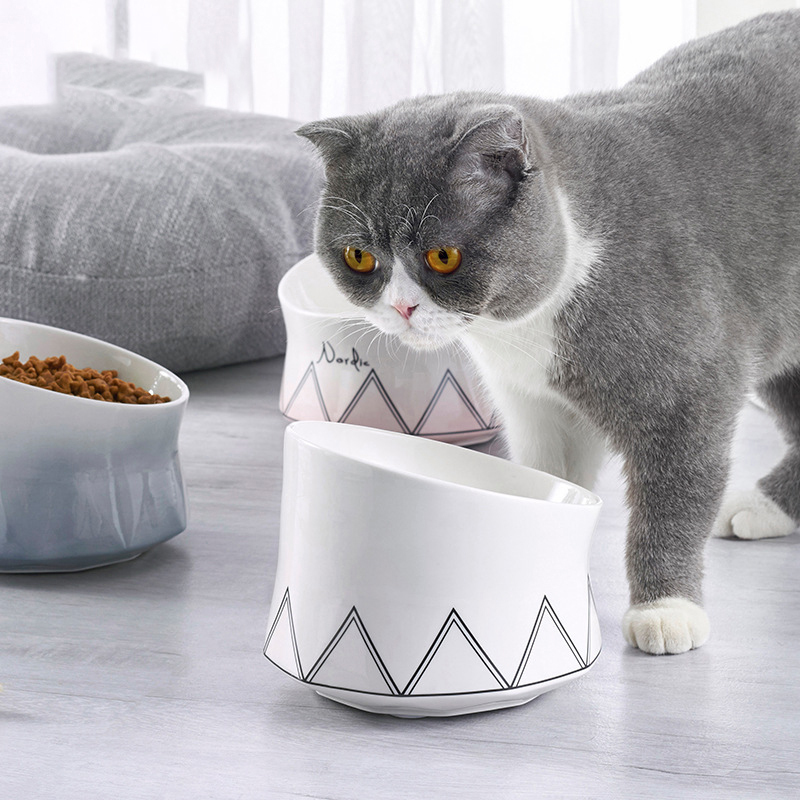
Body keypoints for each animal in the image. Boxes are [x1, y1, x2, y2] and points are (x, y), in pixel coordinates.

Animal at [296, 9, 800, 652]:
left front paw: (666, 609)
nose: (403, 308)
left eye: (442, 256)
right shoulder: (534, 404)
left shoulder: (689, 389)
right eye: (359, 257)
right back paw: (763, 506)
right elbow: (548, 478)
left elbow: (676, 496)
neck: (525, 334)